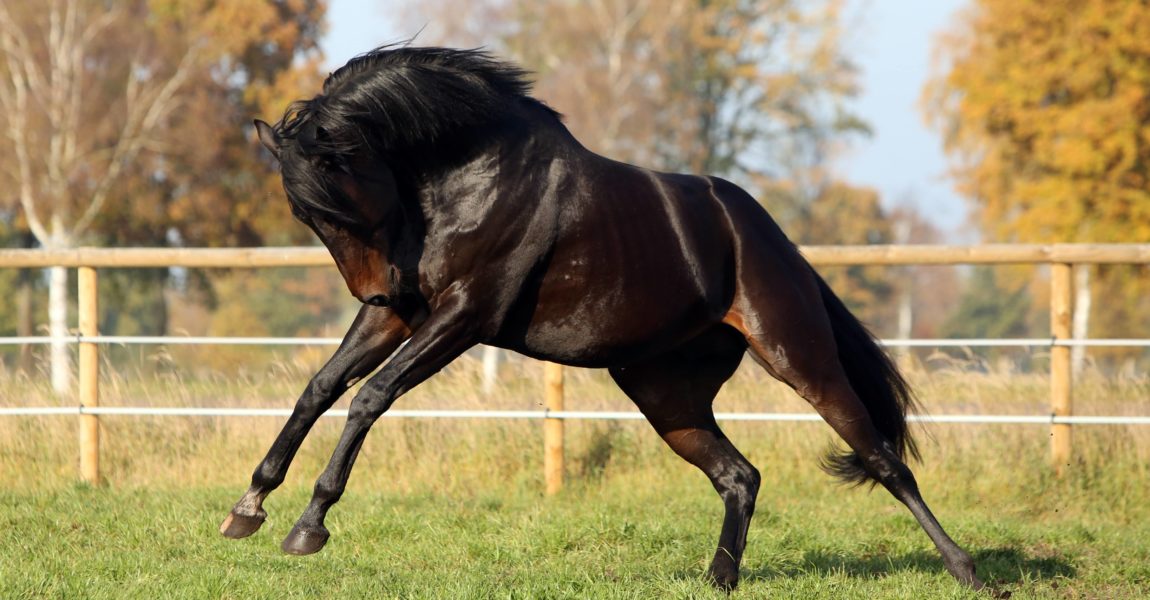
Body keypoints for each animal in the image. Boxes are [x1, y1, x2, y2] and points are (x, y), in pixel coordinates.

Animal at [221, 45, 989, 588]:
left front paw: (309, 524)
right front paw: (249, 506)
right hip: (665, 393)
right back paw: (718, 580)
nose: (374, 288)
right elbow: (320, 389)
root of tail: (770, 239)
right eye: (306, 216)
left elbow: (370, 397)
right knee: (740, 475)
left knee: (886, 461)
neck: (468, 175)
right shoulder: (405, 317)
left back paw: (970, 572)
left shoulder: (462, 317)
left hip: (799, 357)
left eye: (336, 202)